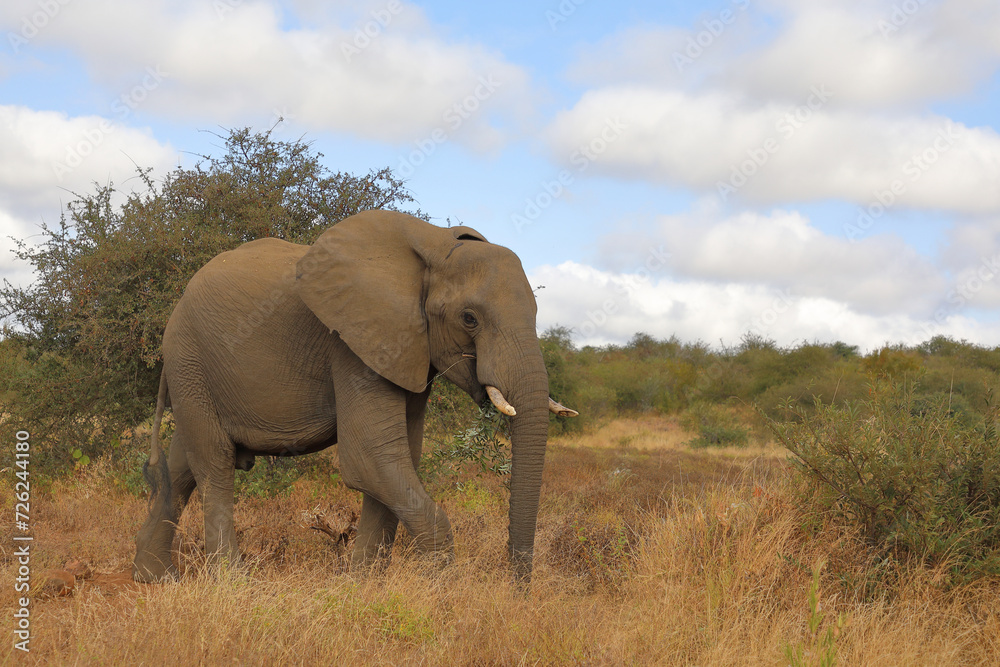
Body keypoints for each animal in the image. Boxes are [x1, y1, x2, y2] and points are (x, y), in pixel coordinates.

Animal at [133, 209, 577, 584]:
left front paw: (364, 586)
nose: (518, 590)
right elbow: (370, 459)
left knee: (182, 463)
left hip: (195, 372)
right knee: (214, 462)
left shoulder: (409, 348)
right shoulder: (352, 342)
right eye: (469, 318)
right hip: (189, 357)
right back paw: (232, 583)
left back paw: (154, 578)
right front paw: (440, 593)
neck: (433, 244)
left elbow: (399, 459)